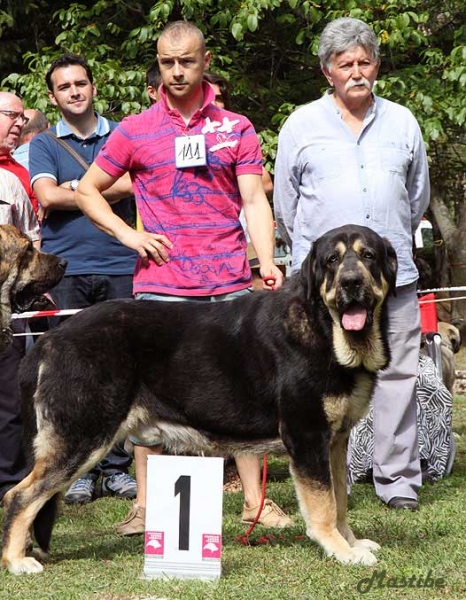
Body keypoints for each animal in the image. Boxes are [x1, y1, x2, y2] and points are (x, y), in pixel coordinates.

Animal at [1, 224, 396, 572]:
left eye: (369, 256)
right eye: (332, 260)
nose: (351, 282)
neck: (323, 325)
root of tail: (51, 339)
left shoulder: (335, 440)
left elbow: (339, 497)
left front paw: (351, 542)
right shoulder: (307, 436)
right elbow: (324, 504)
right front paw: (341, 550)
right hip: (82, 438)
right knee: (19, 496)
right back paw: (16, 561)